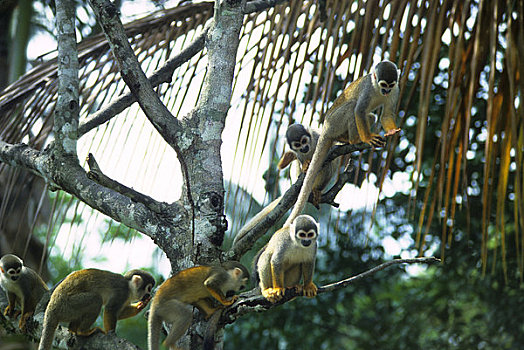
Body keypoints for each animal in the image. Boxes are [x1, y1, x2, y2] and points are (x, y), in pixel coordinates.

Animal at [284, 60, 400, 227]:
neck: (377, 89)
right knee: (353, 106)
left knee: (370, 116)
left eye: (390, 85)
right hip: (335, 122)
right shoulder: (367, 89)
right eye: (383, 84)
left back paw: (345, 139)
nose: (386, 90)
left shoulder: (396, 90)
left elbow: (386, 114)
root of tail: (325, 128)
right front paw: (367, 139)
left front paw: (391, 131)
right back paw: (354, 140)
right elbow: (359, 110)